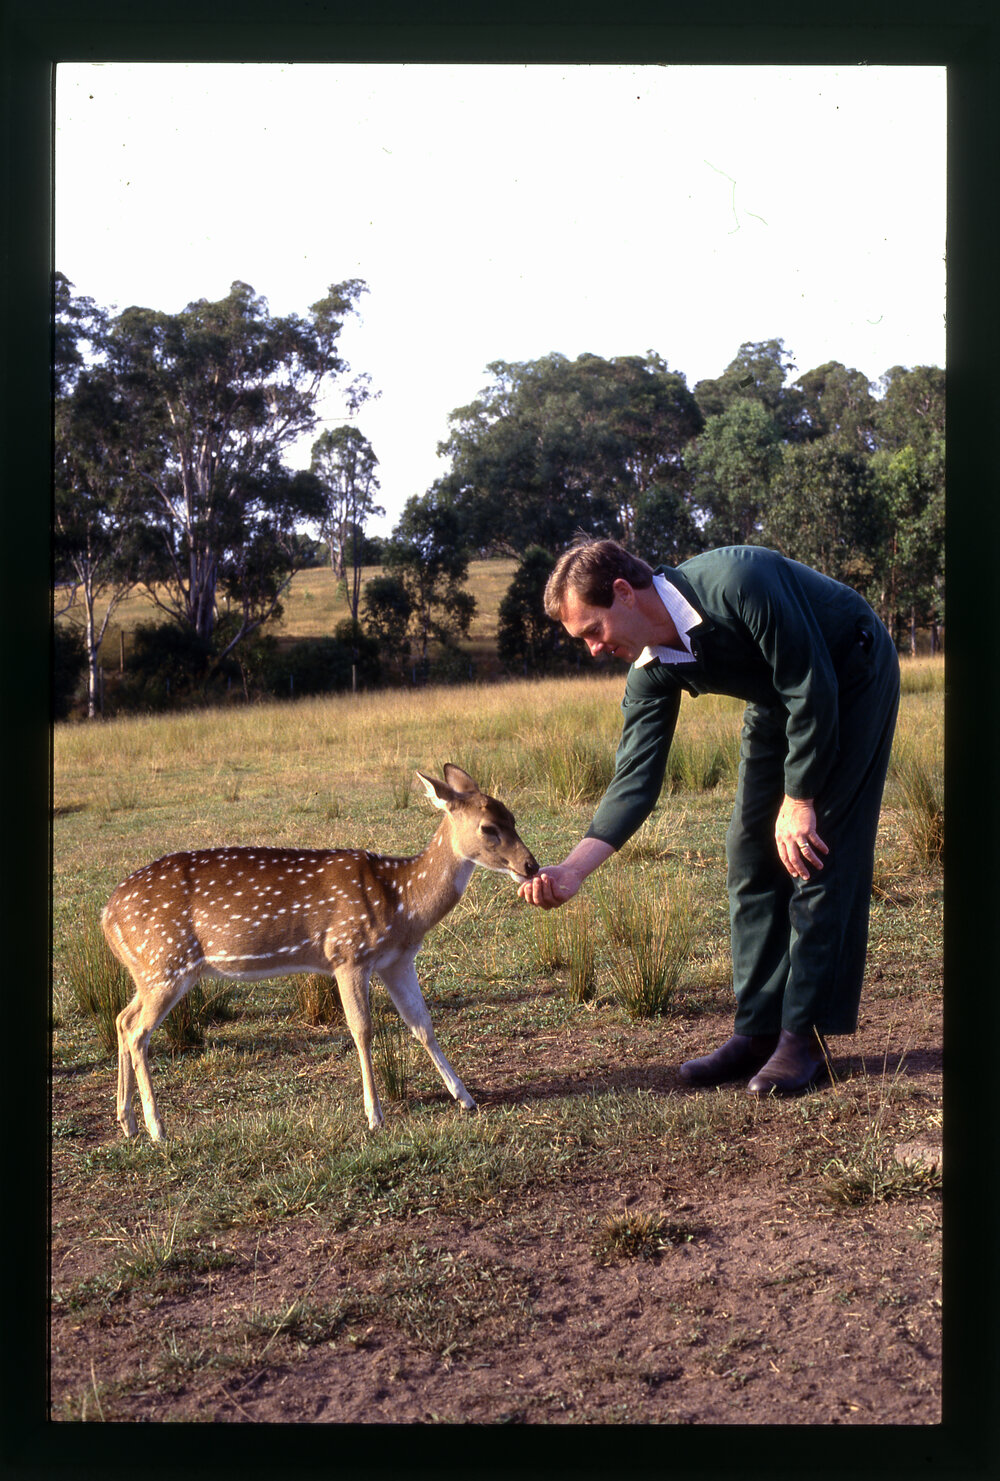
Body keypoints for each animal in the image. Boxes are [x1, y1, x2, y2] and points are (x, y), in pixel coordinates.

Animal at [101, 764, 539, 1139]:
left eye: (513, 817)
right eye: (488, 827)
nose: (531, 866)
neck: (403, 901)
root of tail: (106, 916)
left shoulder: (397, 961)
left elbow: (422, 1024)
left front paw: (465, 1097)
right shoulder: (347, 953)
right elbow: (362, 1029)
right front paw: (374, 1115)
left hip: (151, 970)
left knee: (122, 1019)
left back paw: (127, 1122)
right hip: (166, 961)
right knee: (138, 1032)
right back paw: (157, 1128)